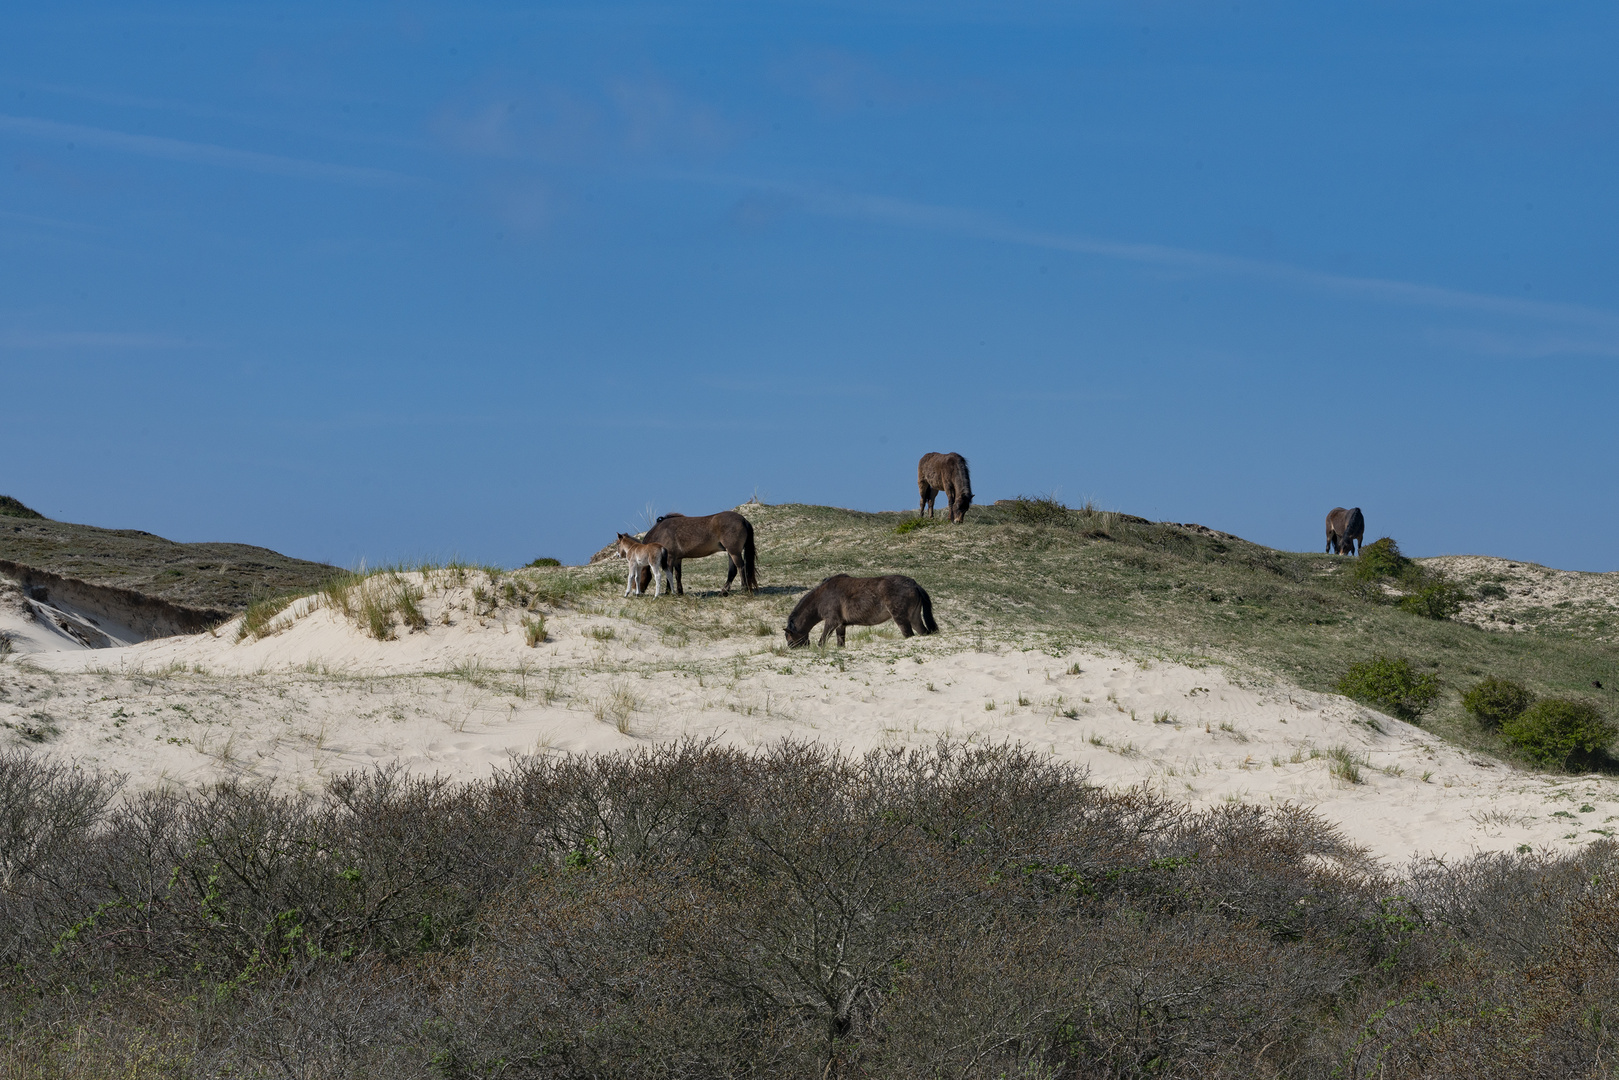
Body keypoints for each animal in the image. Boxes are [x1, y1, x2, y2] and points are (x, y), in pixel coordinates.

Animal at [783, 573, 939, 650]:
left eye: (790, 639)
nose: (791, 648)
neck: (822, 596)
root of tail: (914, 584)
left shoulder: (831, 621)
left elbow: (822, 640)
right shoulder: (840, 625)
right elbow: (840, 643)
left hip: (901, 619)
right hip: (914, 618)